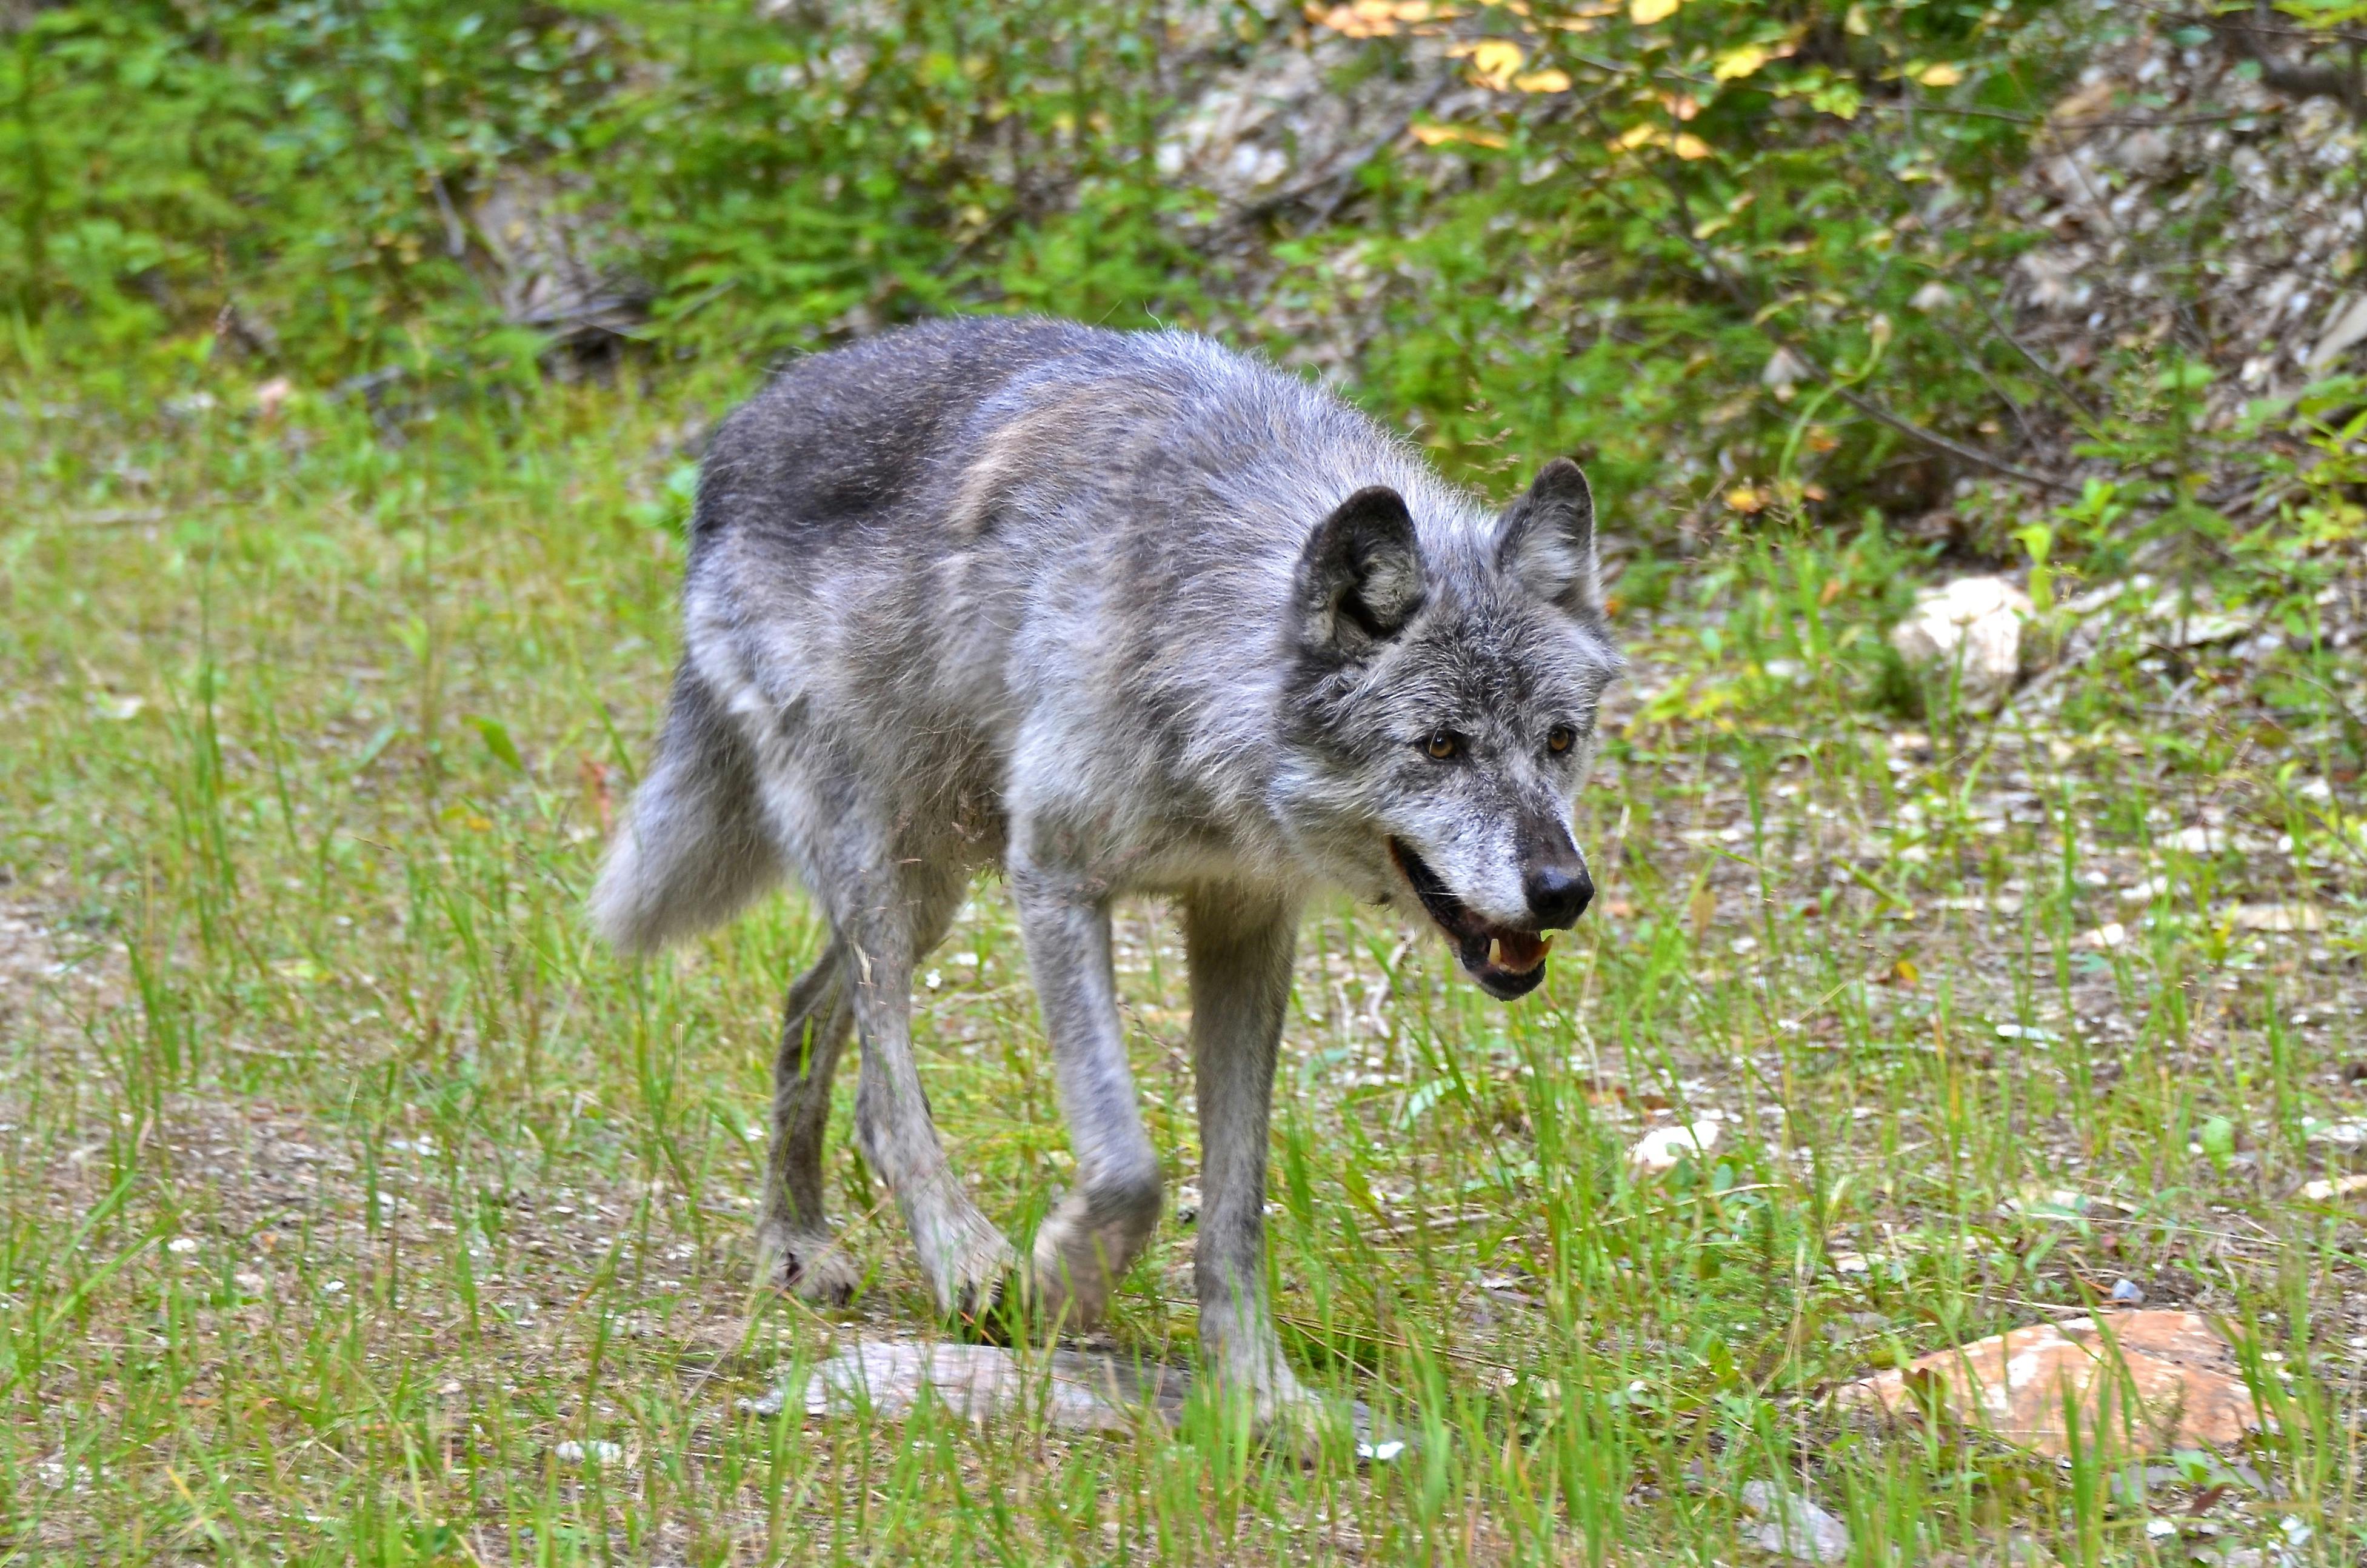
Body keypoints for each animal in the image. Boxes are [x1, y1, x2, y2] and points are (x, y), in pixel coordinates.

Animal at [592, 316, 1622, 1421]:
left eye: (1560, 740)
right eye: (1439, 745)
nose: (1564, 893)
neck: (1202, 654)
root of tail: (744, 424)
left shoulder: (1248, 924)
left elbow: (1236, 1203)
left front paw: (1262, 1394)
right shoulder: (1052, 878)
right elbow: (1130, 1167)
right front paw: (1055, 1283)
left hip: (929, 890)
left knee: (806, 1004)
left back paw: (797, 1237)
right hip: (883, 861)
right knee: (881, 1081)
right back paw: (949, 1256)